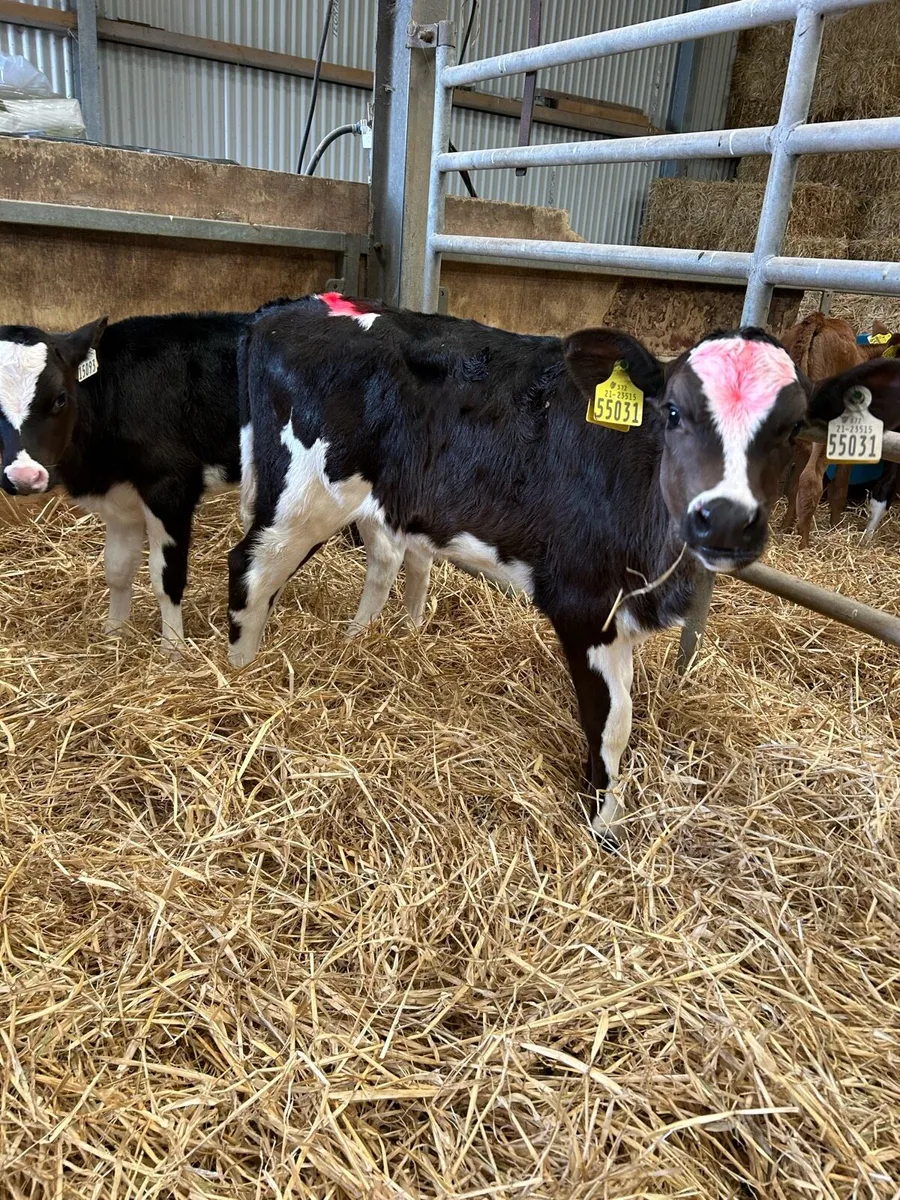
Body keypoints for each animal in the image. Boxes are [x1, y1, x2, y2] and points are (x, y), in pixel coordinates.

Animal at [227, 294, 900, 842]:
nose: (726, 520)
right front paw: (602, 827)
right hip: (305, 494)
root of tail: (289, 309)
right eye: (673, 412)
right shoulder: (585, 604)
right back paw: (237, 677)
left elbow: (623, 721)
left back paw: (359, 638)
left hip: (375, 497)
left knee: (380, 559)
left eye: (794, 427)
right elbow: (610, 721)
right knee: (250, 571)